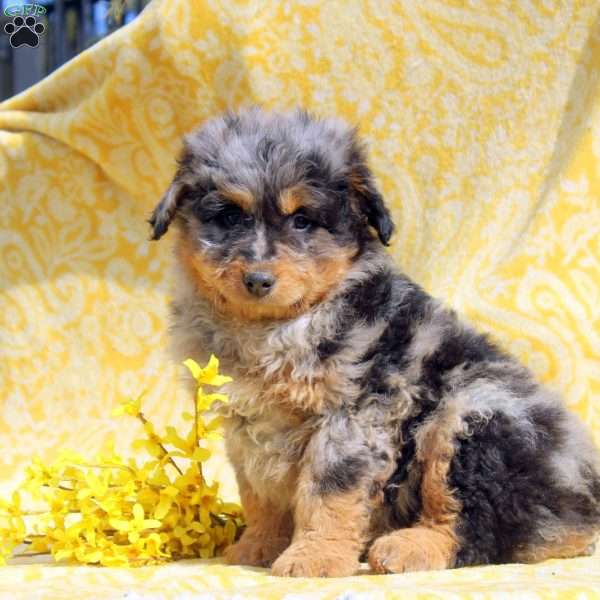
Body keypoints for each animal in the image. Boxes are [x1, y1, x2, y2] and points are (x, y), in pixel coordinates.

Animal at [150, 108, 600, 576]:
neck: (278, 326)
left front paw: (314, 556)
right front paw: (258, 545)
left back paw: (407, 547)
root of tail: (582, 512)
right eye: (230, 216)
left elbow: (328, 492)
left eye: (302, 220)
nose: (258, 280)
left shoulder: (352, 415)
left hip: (473, 413)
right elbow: (259, 493)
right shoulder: (247, 426)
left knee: (470, 523)